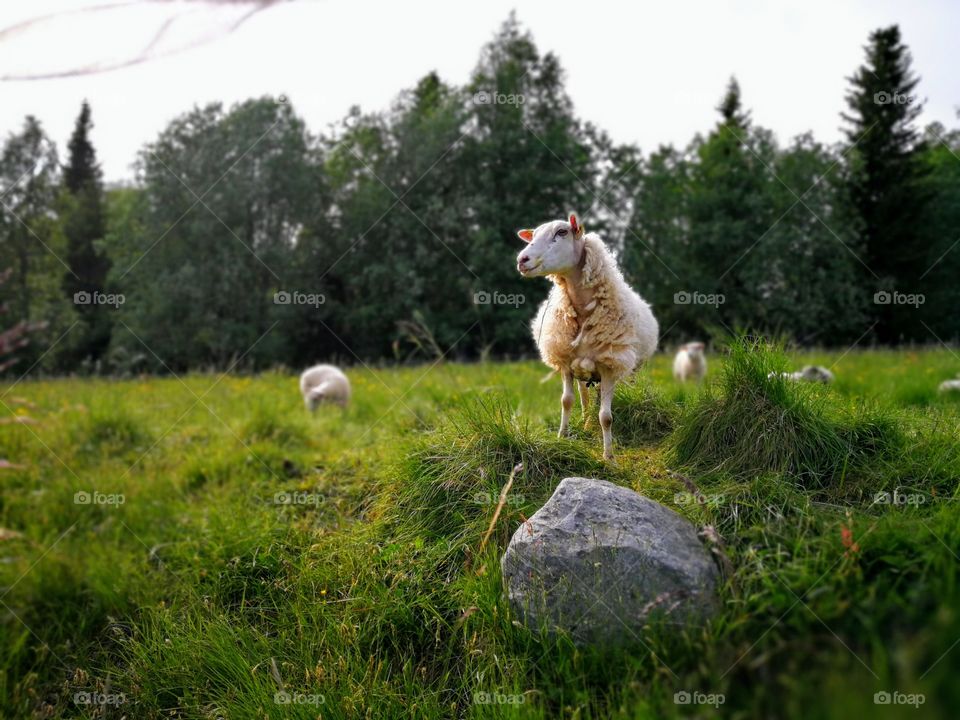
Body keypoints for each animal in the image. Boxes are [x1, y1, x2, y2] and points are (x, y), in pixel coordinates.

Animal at [516, 212, 658, 461]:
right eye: (532, 236)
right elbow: (567, 401)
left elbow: (607, 417)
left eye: (561, 232)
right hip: (583, 371)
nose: (522, 260)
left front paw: (609, 457)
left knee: (625, 389)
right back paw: (585, 422)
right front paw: (562, 438)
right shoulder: (566, 362)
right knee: (584, 397)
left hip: (631, 366)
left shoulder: (610, 365)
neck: (584, 312)